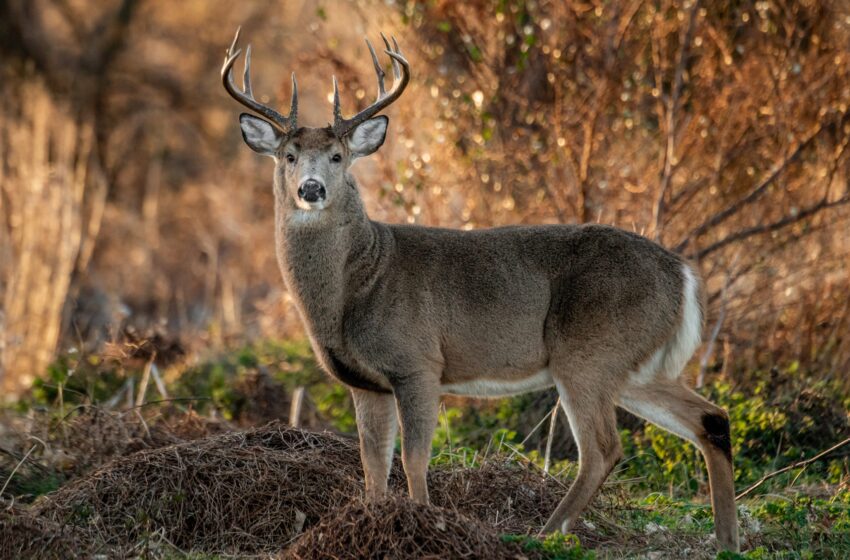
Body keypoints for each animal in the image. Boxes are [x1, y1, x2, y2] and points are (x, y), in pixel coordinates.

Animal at [219, 28, 736, 548]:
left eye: (337, 157)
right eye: (288, 156)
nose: (311, 189)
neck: (358, 285)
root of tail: (683, 273)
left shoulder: (418, 362)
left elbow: (413, 459)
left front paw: (422, 523)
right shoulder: (365, 382)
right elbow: (372, 465)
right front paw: (370, 521)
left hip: (588, 351)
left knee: (603, 448)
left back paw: (544, 534)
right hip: (634, 364)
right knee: (710, 419)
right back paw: (727, 541)